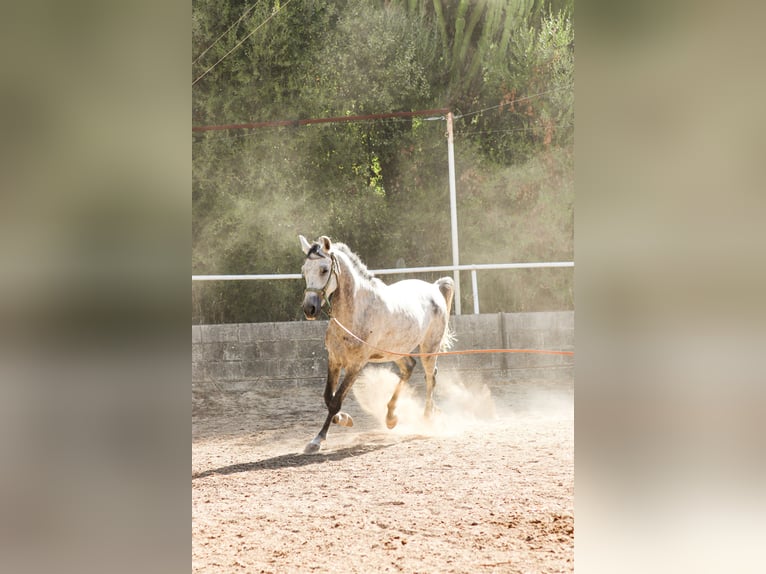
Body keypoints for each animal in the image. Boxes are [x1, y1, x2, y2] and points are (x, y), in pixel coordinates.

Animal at [299, 234, 455, 454]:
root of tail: (435, 288)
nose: (309, 309)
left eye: (324, 269)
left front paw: (318, 439)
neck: (357, 312)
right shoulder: (334, 360)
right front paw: (342, 421)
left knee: (430, 377)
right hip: (395, 351)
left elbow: (336, 401)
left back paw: (427, 418)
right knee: (409, 368)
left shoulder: (356, 365)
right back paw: (391, 417)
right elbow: (328, 398)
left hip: (429, 348)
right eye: (304, 270)